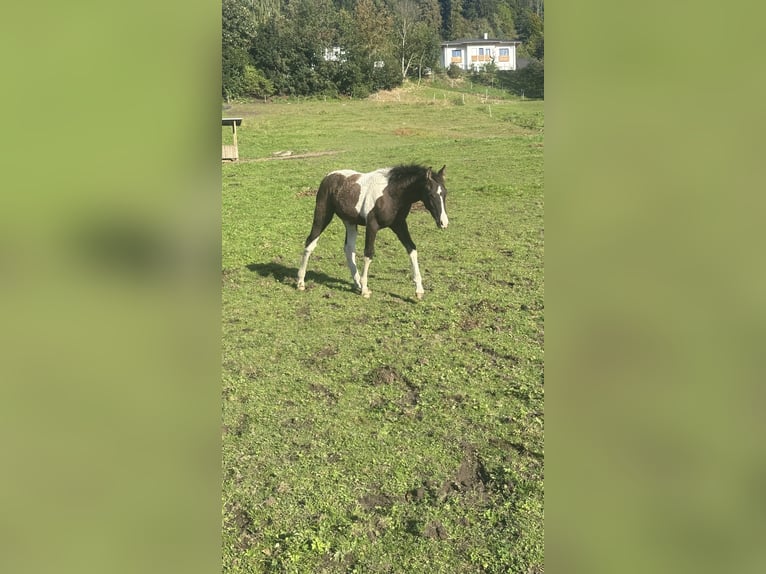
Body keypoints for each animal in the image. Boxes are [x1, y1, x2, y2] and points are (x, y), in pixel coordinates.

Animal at [297, 164, 449, 299]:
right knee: (310, 242)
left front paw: (419, 291)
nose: (444, 223)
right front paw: (365, 290)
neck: (391, 195)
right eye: (431, 194)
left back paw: (357, 283)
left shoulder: (399, 225)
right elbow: (368, 253)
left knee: (349, 249)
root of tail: (329, 176)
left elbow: (412, 249)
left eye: (445, 193)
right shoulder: (372, 226)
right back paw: (301, 282)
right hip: (323, 214)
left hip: (350, 222)